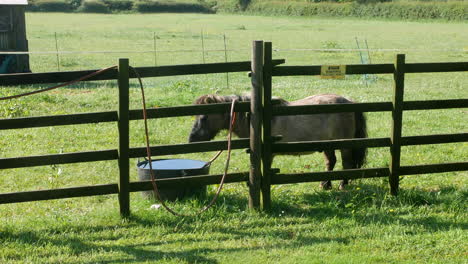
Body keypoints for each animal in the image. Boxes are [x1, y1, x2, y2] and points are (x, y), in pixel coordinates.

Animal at [188, 94, 368, 189]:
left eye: (203, 117)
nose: (191, 139)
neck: (257, 120)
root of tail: (349, 101)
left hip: (344, 144)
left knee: (346, 163)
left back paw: (343, 184)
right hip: (328, 145)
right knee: (331, 162)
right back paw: (325, 184)